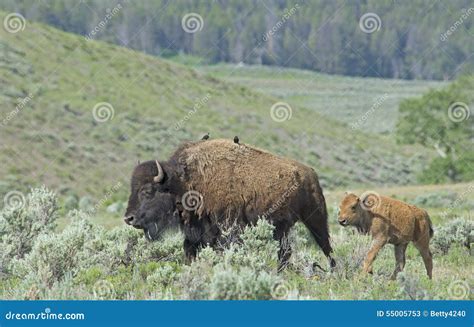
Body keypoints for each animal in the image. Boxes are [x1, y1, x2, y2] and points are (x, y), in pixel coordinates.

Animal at [124, 138, 336, 270]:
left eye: (147, 191)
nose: (128, 218)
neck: (183, 182)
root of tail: (310, 172)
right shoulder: (196, 232)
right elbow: (189, 251)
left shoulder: (227, 229)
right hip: (282, 227)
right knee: (285, 252)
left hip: (315, 218)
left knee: (326, 246)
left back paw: (334, 271)